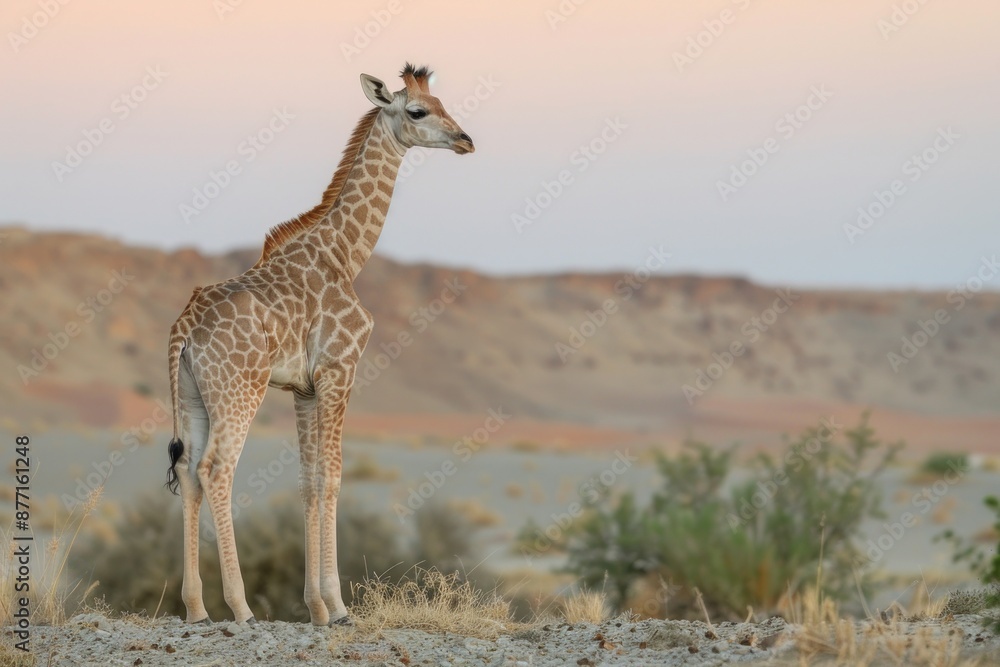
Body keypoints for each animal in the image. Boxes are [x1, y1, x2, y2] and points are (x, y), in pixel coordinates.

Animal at [164, 64, 474, 626]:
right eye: (418, 111)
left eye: (444, 103)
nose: (466, 140)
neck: (346, 253)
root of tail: (183, 328)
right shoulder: (339, 369)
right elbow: (332, 476)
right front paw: (340, 606)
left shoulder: (303, 388)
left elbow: (308, 481)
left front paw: (316, 609)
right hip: (239, 390)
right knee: (215, 469)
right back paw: (241, 608)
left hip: (193, 394)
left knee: (187, 470)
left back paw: (196, 610)